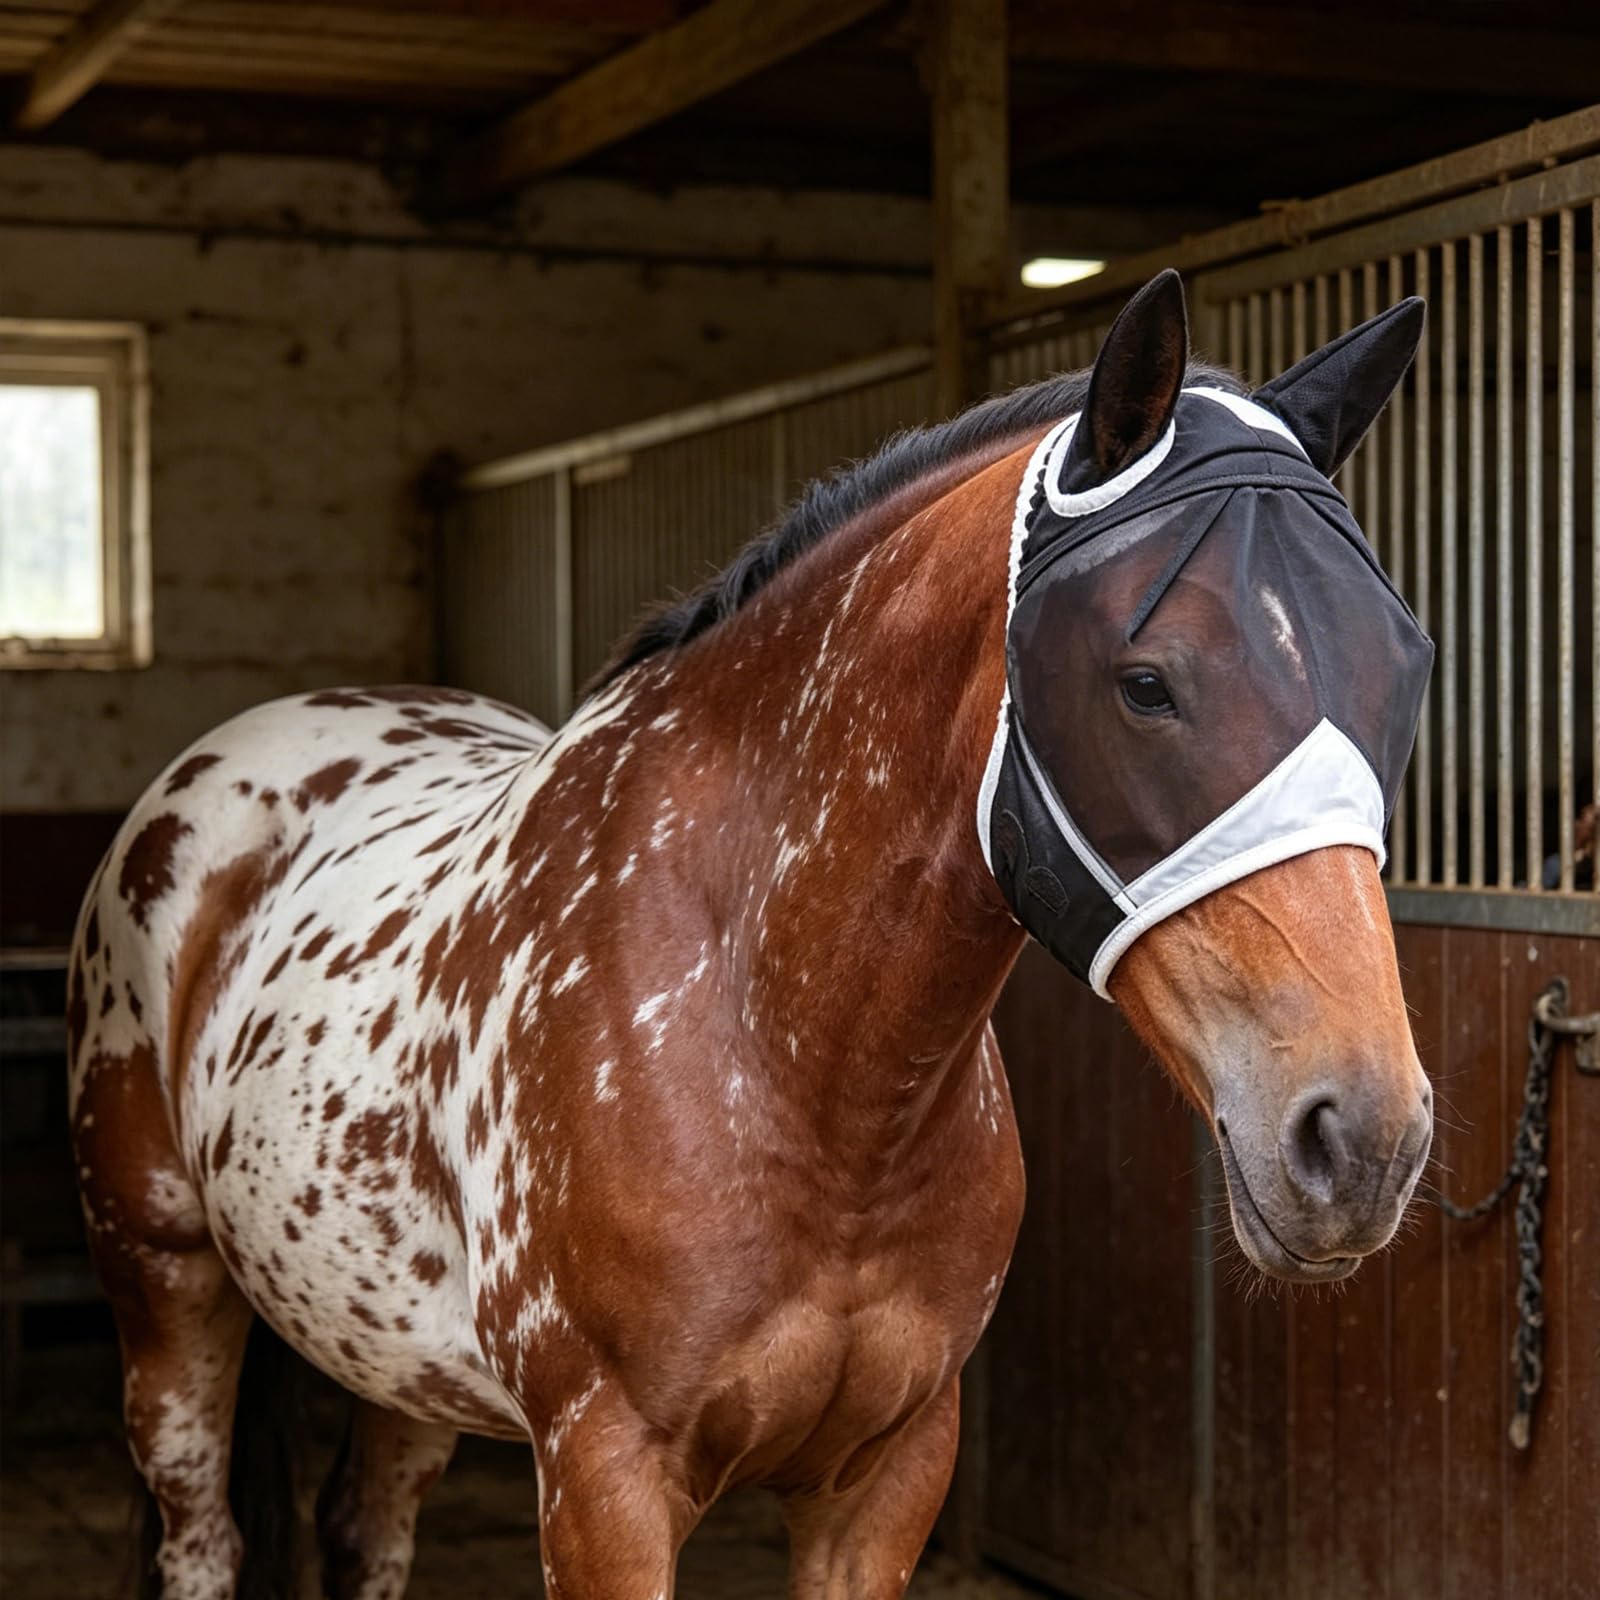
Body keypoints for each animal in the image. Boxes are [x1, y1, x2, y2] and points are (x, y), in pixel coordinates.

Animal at [68, 270, 1434, 1600]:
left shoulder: (887, 1474)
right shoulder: (605, 1483)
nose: (1362, 1140)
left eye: (1407, 668)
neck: (790, 1056)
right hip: (165, 1287)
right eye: (1143, 682)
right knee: (202, 1536)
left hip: (394, 1359)